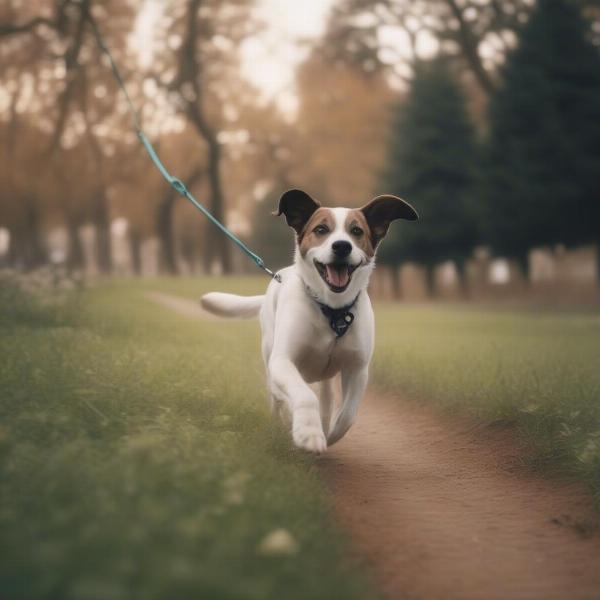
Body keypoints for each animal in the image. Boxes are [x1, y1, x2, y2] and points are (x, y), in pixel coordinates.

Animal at [202, 190, 418, 452]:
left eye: (356, 231)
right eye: (321, 229)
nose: (342, 246)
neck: (332, 312)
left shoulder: (357, 369)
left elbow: (348, 415)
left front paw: (329, 433)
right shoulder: (283, 362)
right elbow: (304, 396)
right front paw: (308, 432)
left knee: (326, 396)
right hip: (270, 352)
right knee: (277, 396)